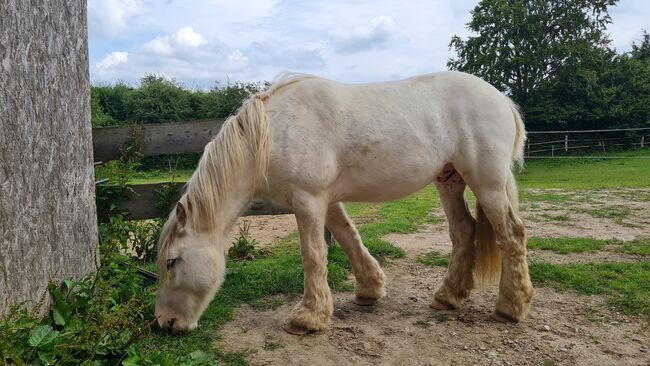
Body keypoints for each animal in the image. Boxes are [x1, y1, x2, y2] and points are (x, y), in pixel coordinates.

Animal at [153, 70, 532, 334]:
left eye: (172, 261)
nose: (165, 322)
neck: (274, 132)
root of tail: (502, 99)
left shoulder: (307, 200)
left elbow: (312, 255)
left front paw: (308, 318)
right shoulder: (327, 201)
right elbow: (349, 238)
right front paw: (370, 290)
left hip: (487, 183)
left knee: (512, 235)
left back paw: (510, 307)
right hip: (449, 181)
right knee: (463, 230)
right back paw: (448, 297)